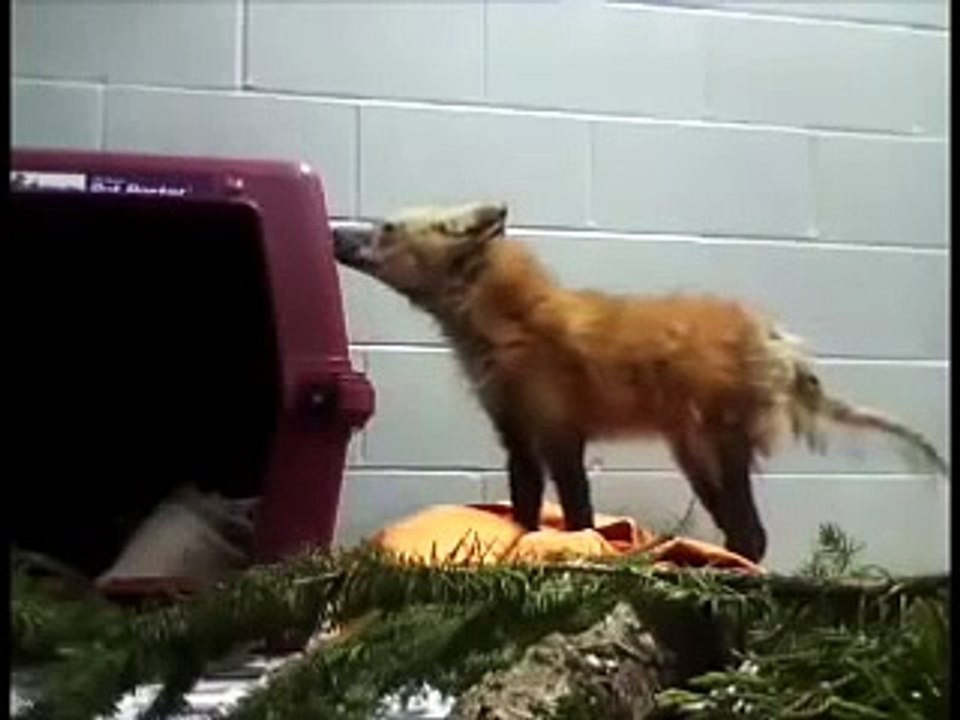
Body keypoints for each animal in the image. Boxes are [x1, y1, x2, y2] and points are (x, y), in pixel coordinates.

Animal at [333, 202, 948, 563]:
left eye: (386, 228)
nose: (333, 230)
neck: (508, 329)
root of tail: (776, 336)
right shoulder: (517, 435)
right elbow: (525, 513)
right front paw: (519, 544)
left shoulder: (560, 433)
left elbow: (577, 517)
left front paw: (580, 554)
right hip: (695, 457)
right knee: (741, 535)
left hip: (721, 448)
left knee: (753, 537)